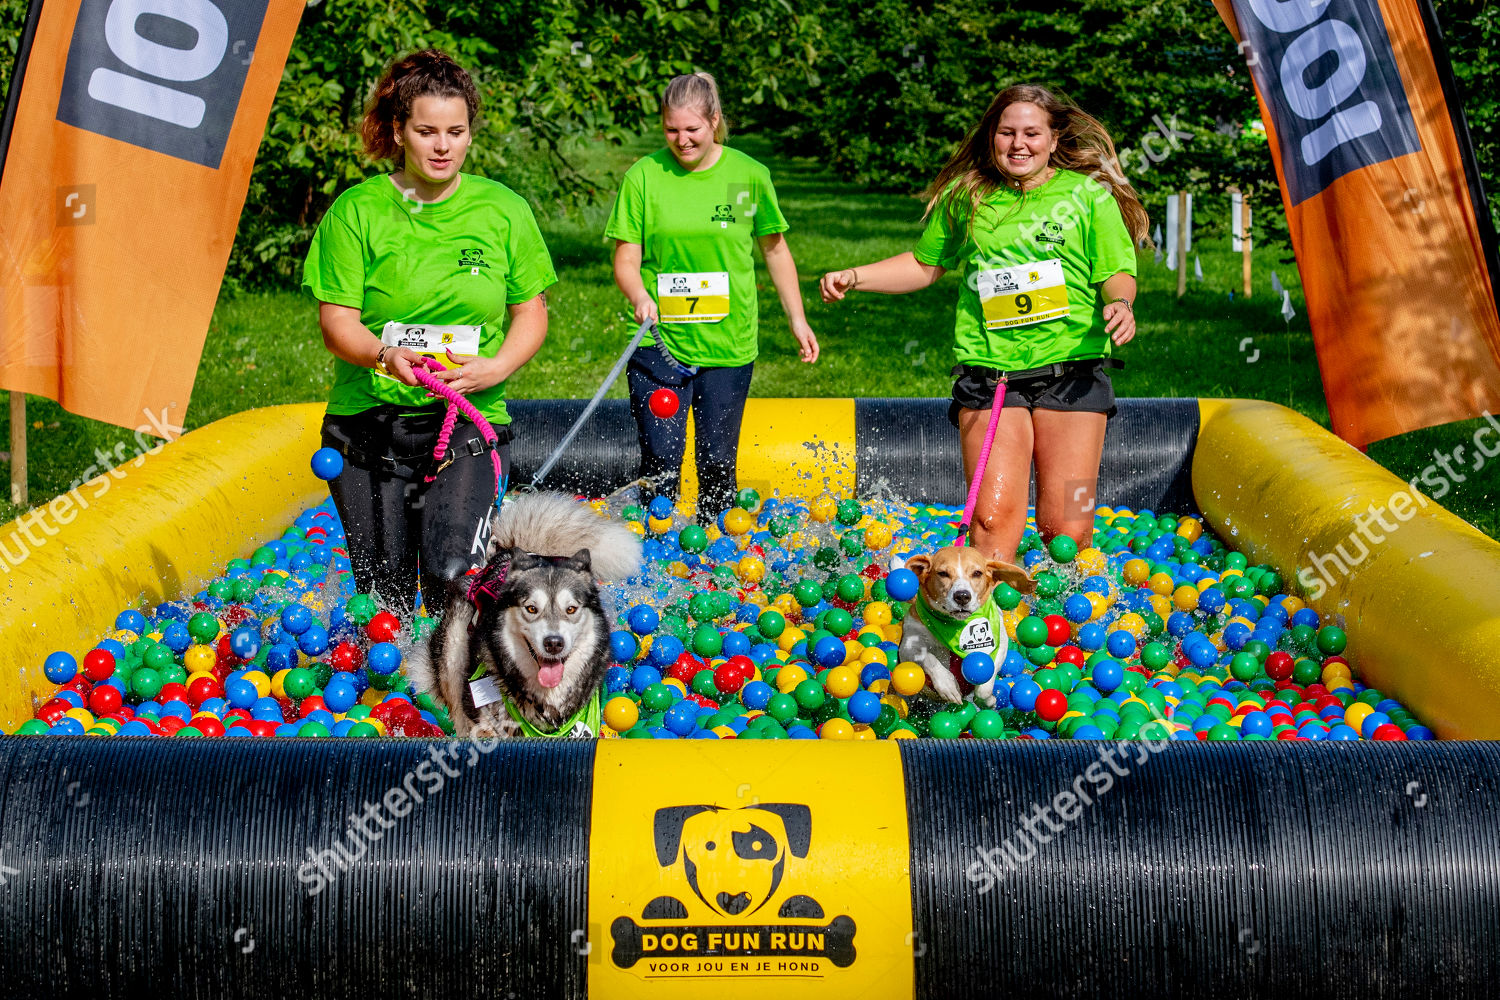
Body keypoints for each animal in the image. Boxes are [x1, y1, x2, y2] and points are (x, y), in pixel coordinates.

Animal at [894, 551, 1038, 707]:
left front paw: (988, 701)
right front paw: (948, 685)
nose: (962, 596)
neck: (955, 625)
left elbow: (985, 684)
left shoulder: (1000, 644)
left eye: (977, 573)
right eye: (943, 573)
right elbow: (928, 657)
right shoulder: (908, 646)